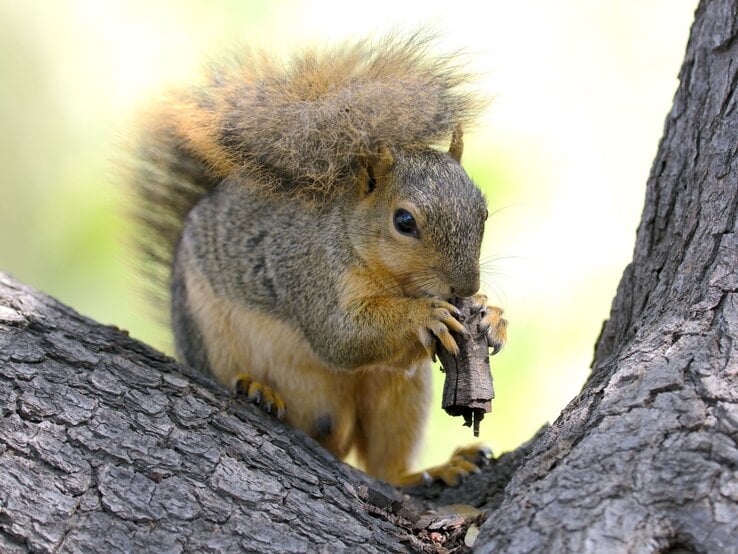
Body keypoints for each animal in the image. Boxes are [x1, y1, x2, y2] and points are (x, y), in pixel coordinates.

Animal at [128, 32, 506, 486]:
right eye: (403, 221)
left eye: (483, 210)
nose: (467, 287)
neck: (395, 281)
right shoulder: (311, 273)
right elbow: (340, 336)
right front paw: (425, 315)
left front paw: (493, 315)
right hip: (207, 331)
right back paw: (256, 388)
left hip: (400, 392)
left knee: (386, 464)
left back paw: (426, 471)